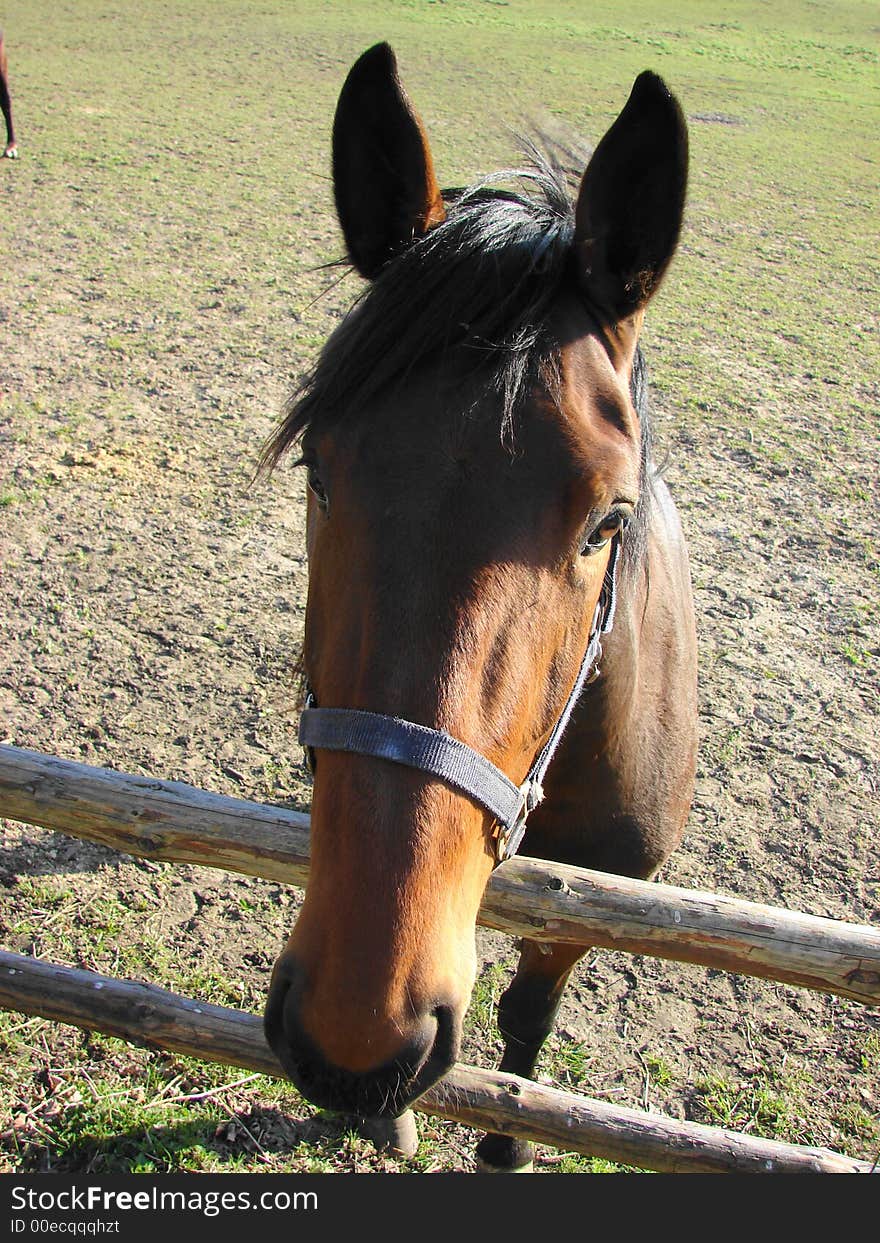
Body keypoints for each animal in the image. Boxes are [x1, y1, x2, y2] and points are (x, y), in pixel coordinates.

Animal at [259, 43, 696, 1168]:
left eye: (605, 521)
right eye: (320, 472)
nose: (357, 1029)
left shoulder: (587, 911)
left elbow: (527, 1027)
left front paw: (506, 1146)